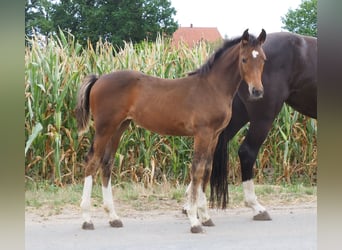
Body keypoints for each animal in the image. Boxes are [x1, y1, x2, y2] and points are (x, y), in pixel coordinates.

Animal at [75, 29, 268, 234]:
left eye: (263, 59)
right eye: (244, 59)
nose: (257, 91)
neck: (212, 87)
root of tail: (98, 80)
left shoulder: (214, 136)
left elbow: (207, 169)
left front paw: (205, 217)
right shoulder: (203, 134)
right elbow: (197, 170)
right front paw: (194, 220)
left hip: (119, 128)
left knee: (107, 163)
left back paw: (113, 217)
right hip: (104, 128)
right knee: (92, 162)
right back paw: (87, 219)